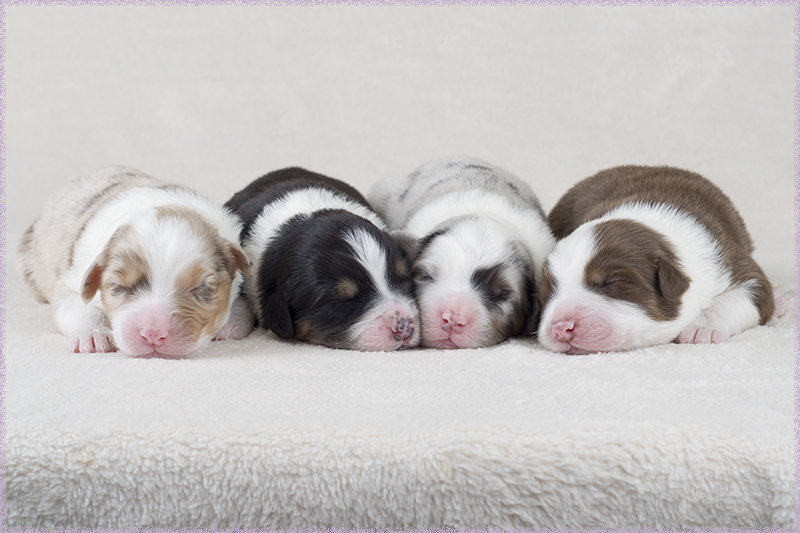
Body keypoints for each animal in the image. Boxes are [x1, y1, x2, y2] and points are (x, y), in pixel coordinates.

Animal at [17, 165, 252, 358]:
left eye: (202, 287)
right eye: (119, 286)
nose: (153, 334)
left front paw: (231, 323)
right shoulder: (71, 283)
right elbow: (78, 307)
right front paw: (94, 336)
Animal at [536, 163, 780, 354]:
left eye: (611, 282)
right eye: (547, 293)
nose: (561, 328)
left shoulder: (726, 258)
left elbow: (753, 293)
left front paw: (702, 327)